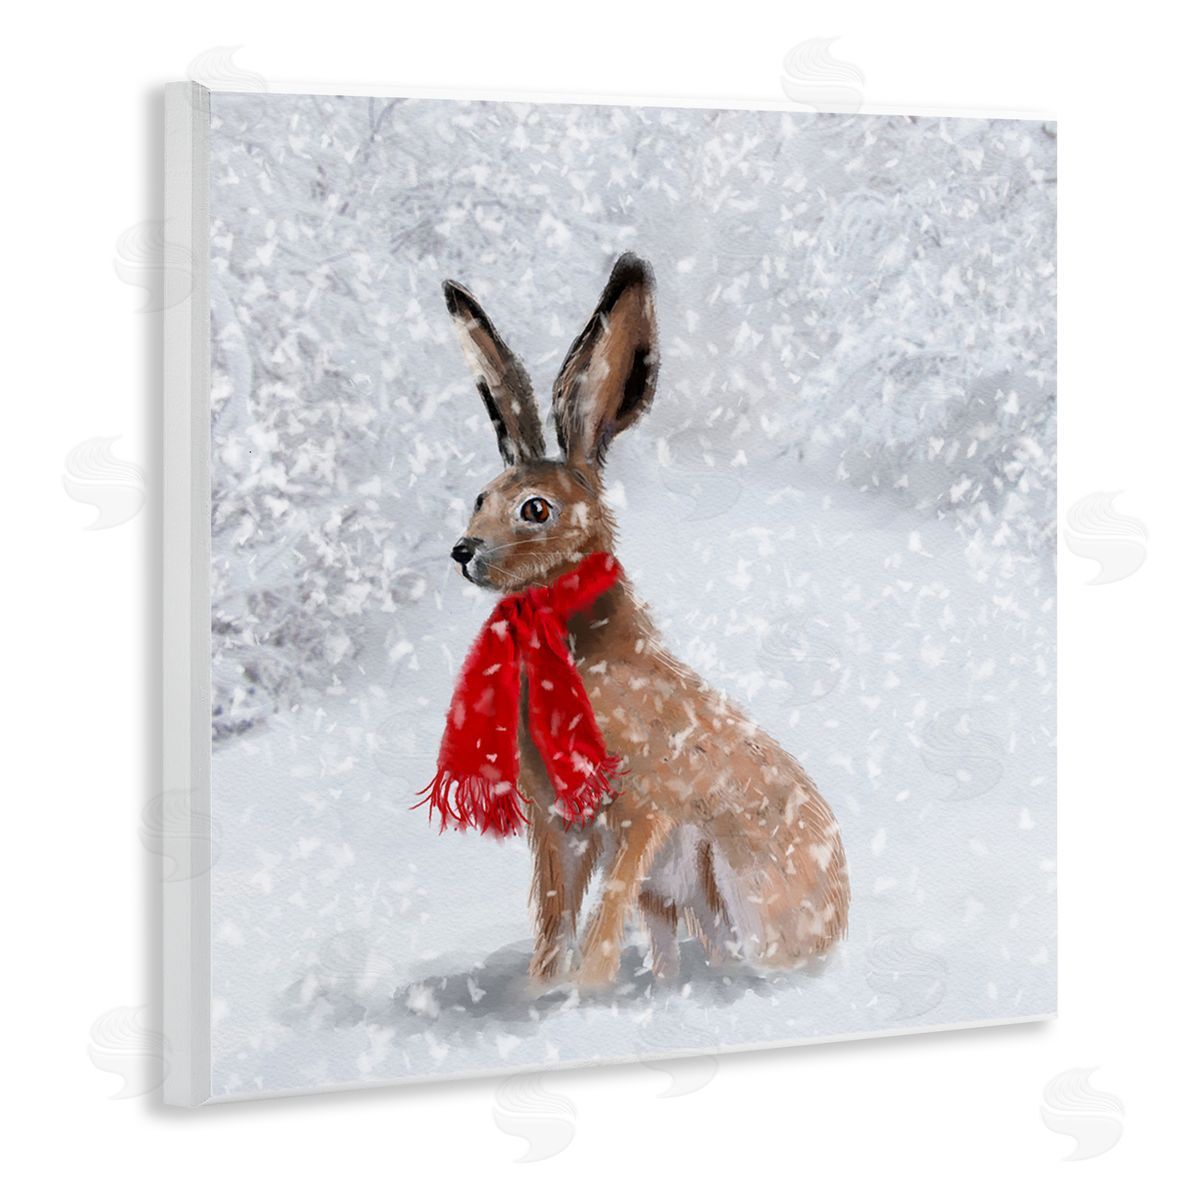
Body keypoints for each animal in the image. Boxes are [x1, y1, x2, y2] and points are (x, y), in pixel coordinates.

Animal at [439, 252, 850, 988]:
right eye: (480, 497)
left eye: (536, 509)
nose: (463, 550)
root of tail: (840, 928)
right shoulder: (557, 828)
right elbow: (555, 914)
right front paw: (544, 989)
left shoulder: (643, 812)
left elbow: (604, 911)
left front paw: (586, 988)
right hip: (676, 897)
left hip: (725, 872)